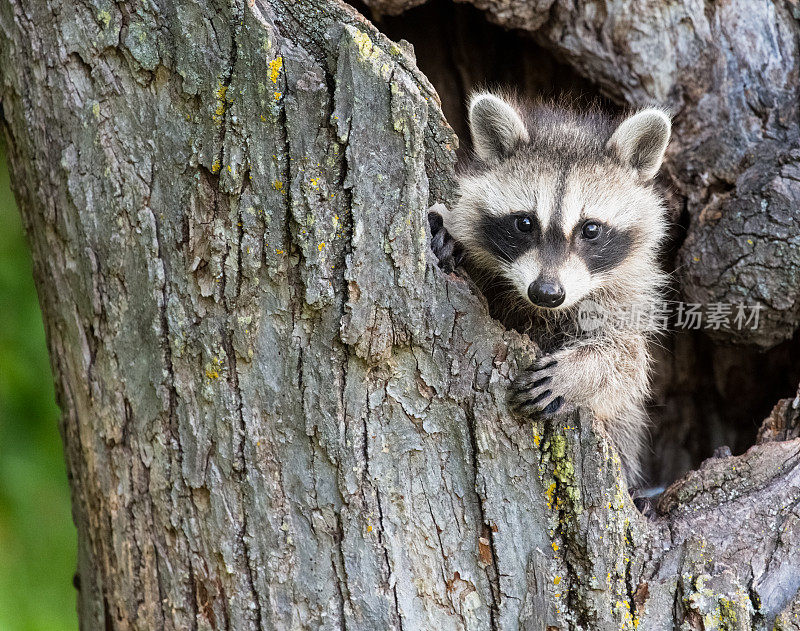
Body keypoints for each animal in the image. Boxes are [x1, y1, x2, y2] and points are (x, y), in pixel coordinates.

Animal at [432, 92, 668, 484]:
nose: (546, 292)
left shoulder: (625, 297)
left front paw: (582, 372)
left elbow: (628, 362)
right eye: (525, 223)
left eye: (591, 229)